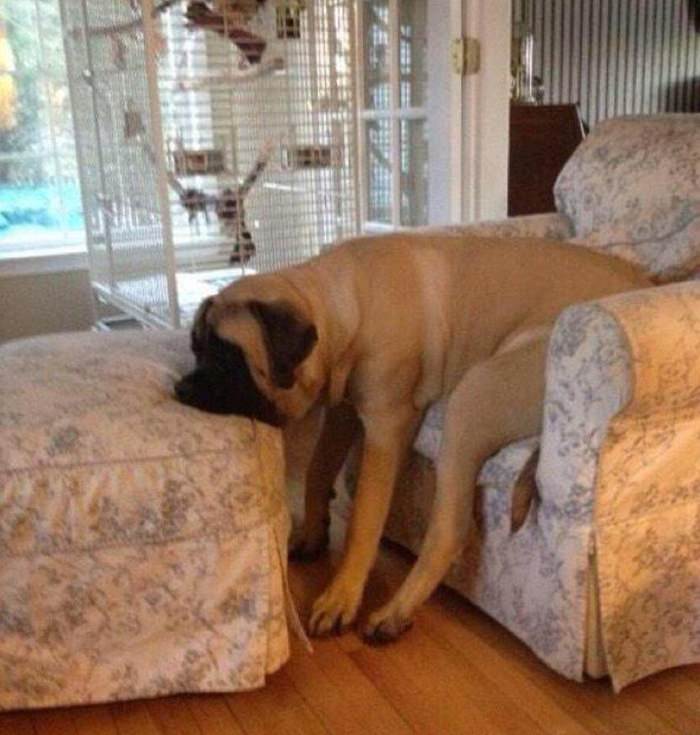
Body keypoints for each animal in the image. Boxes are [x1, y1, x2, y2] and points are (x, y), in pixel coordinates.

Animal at [175, 233, 652, 640]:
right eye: (196, 347)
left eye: (228, 357)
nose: (181, 388)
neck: (339, 309)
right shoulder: (344, 411)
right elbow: (317, 470)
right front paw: (312, 531)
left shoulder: (385, 428)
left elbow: (364, 522)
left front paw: (341, 596)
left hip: (472, 397)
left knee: (449, 529)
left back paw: (396, 612)